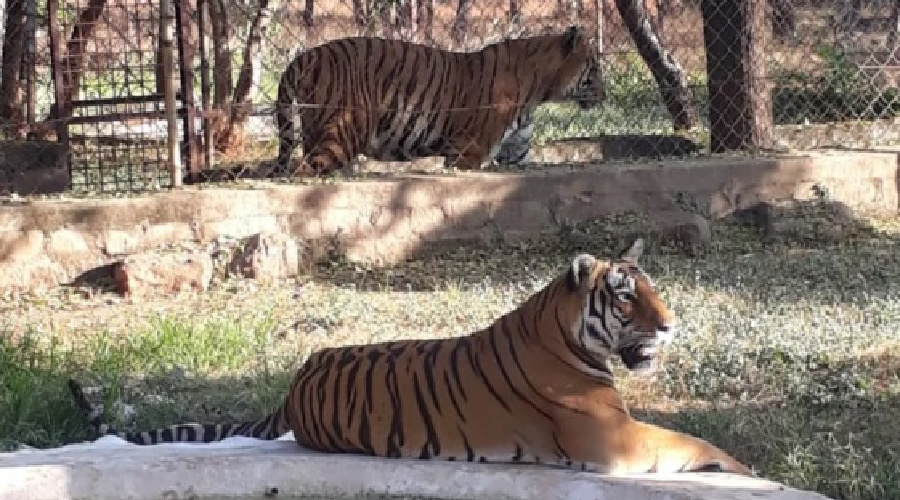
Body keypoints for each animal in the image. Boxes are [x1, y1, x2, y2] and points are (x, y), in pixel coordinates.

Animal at [68, 240, 752, 478]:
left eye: (652, 290)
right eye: (627, 296)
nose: (671, 325)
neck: (560, 329)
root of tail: (295, 380)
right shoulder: (613, 438)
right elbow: (692, 439)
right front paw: (739, 467)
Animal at [268, 26, 604, 178]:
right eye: (595, 68)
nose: (605, 94)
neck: (537, 92)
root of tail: (305, 55)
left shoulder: (515, 154)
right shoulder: (467, 151)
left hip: (316, 131)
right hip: (343, 134)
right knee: (301, 170)